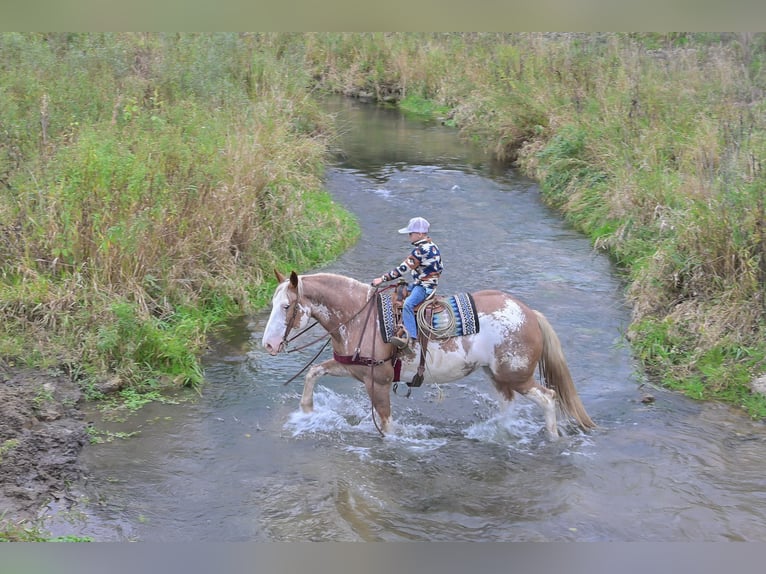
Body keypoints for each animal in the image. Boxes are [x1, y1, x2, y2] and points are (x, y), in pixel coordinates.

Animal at [261, 270, 595, 439]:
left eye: (287, 306)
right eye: (272, 304)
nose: (268, 345)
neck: (358, 317)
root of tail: (529, 313)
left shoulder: (378, 382)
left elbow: (385, 424)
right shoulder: (354, 368)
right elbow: (313, 372)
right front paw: (307, 411)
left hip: (517, 375)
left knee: (548, 397)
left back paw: (552, 437)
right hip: (498, 375)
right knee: (508, 404)